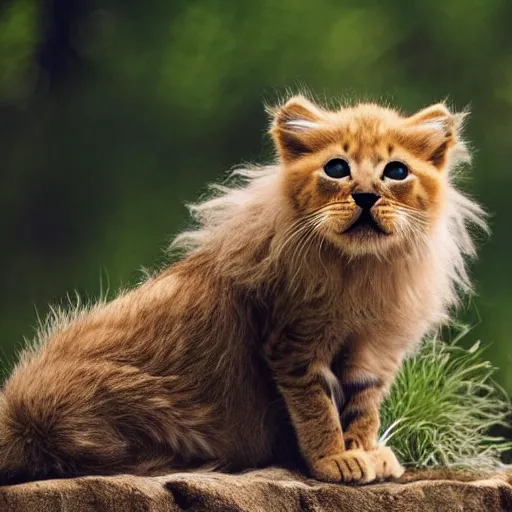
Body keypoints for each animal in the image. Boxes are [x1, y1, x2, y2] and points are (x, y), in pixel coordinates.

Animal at [0, 95, 486, 484]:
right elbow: (317, 410)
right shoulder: (293, 344)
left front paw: (366, 453)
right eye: (336, 168)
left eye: (396, 172)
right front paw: (335, 461)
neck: (363, 269)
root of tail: (17, 417)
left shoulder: (374, 353)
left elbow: (362, 410)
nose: (366, 196)